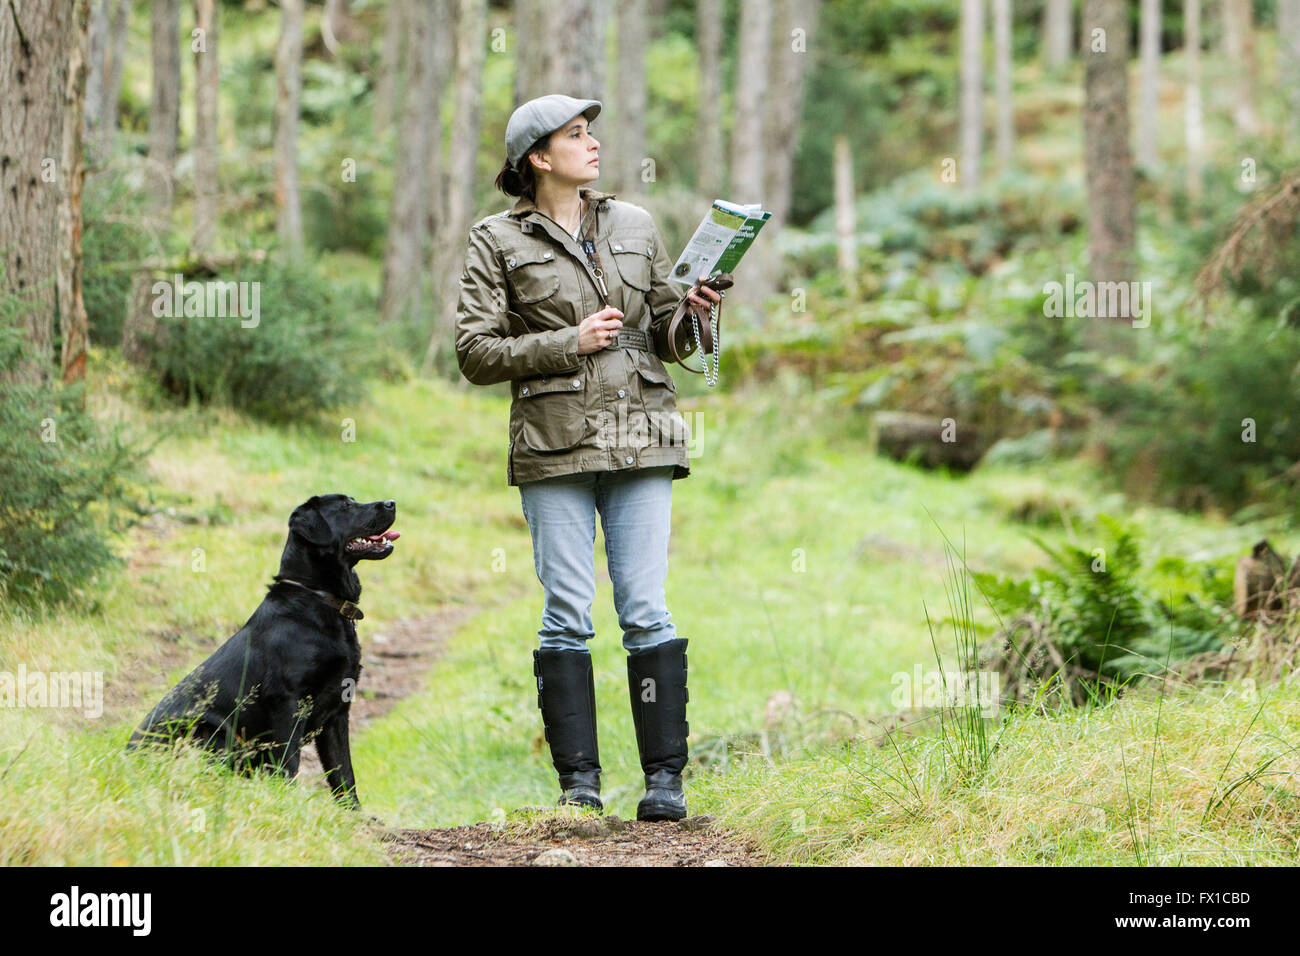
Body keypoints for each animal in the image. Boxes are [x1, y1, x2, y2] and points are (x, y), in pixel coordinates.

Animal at [130, 494, 400, 806]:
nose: (392, 502)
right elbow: (289, 764)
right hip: (207, 729)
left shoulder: (338, 710)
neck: (317, 597)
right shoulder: (287, 702)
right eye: (345, 506)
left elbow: (344, 776)